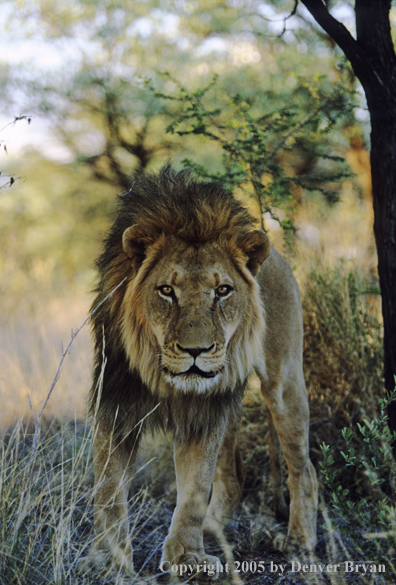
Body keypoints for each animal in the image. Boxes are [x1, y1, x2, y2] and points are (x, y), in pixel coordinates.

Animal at [86, 165, 318, 576]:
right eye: (166, 290)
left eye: (222, 290)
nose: (197, 351)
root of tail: (273, 254)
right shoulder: (114, 403)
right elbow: (109, 486)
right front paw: (109, 559)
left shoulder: (205, 412)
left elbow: (194, 488)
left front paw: (187, 557)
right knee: (234, 474)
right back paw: (215, 531)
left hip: (284, 383)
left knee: (303, 468)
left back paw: (299, 540)